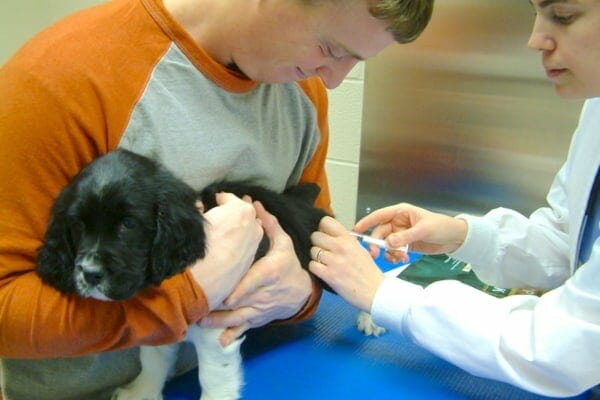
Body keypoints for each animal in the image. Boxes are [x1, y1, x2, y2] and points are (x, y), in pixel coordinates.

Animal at [37, 148, 330, 398]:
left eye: (128, 224)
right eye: (77, 225)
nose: (90, 273)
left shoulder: (217, 333)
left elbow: (214, 378)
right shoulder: (161, 326)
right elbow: (152, 360)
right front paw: (142, 393)